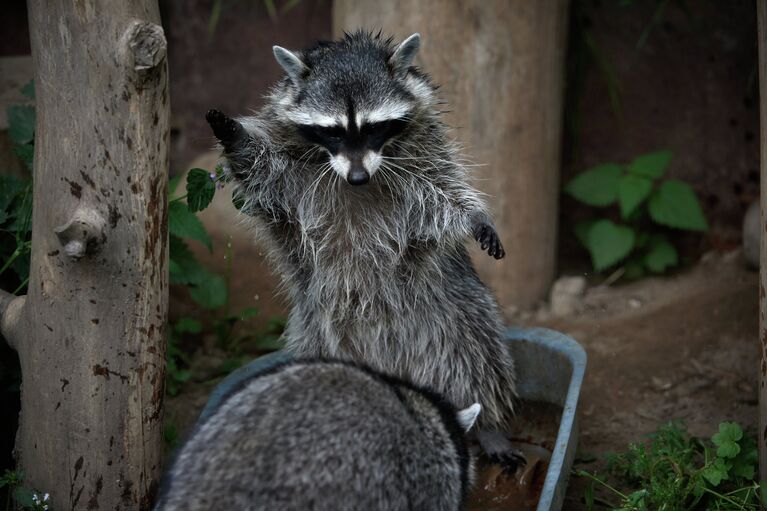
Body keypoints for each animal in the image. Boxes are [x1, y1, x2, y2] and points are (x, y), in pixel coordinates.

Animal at [207, 33, 520, 464]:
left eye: (375, 127)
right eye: (333, 132)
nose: (357, 177)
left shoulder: (426, 151)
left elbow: (443, 189)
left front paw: (472, 214)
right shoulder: (291, 175)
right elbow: (263, 172)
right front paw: (234, 135)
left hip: (455, 310)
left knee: (478, 355)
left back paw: (488, 422)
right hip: (317, 332)